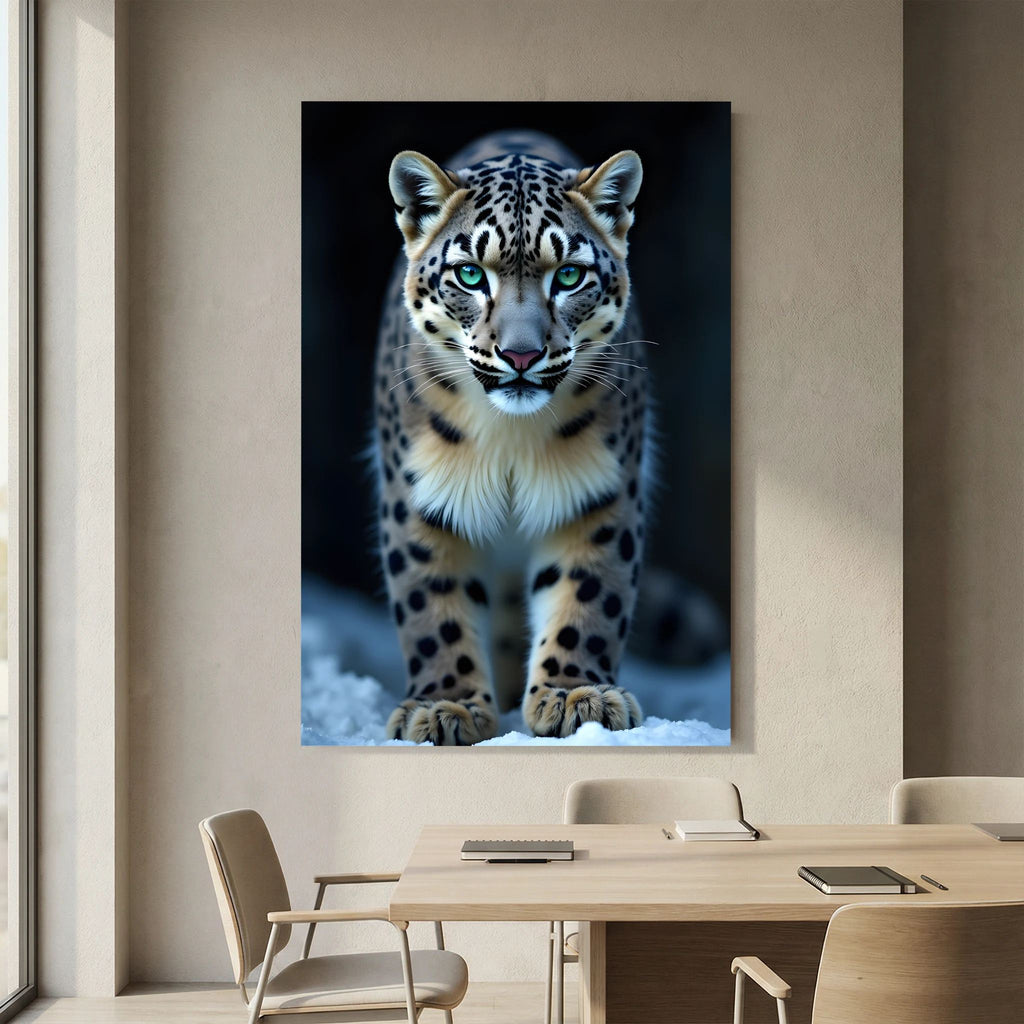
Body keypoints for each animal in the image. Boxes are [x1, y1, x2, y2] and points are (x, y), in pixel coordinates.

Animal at [373, 129, 650, 745]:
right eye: (471, 274)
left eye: (568, 275)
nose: (521, 355)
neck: (510, 438)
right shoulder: (420, 497)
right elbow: (432, 605)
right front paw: (445, 706)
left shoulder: (598, 493)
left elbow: (588, 593)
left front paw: (576, 696)